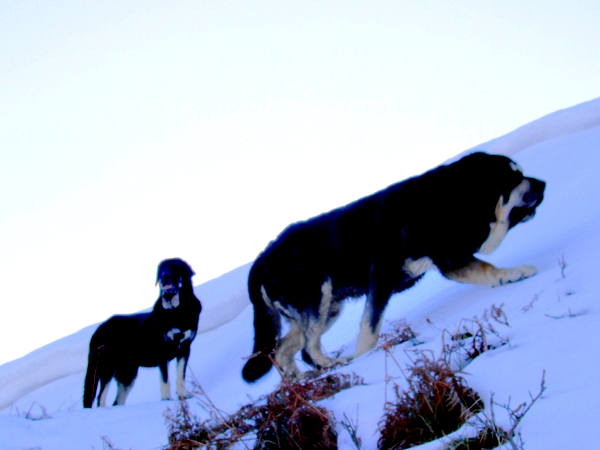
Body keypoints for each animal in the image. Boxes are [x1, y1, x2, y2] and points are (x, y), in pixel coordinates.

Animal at [83, 256, 203, 408]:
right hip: (107, 366)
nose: (164, 276)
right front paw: (166, 400)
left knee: (116, 401)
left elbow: (180, 376)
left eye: (175, 267)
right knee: (100, 398)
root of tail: (97, 332)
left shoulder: (185, 348)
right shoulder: (162, 352)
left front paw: (183, 396)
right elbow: (165, 380)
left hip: (128, 374)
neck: (176, 311)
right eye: (161, 270)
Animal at [241, 153, 548, 382]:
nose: (543, 184)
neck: (449, 198)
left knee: (283, 350)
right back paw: (333, 365)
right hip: (318, 297)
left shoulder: (449, 260)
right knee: (307, 349)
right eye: (514, 177)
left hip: (328, 307)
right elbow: (370, 329)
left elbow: (485, 270)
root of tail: (259, 261)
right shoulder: (386, 276)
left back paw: (301, 380)